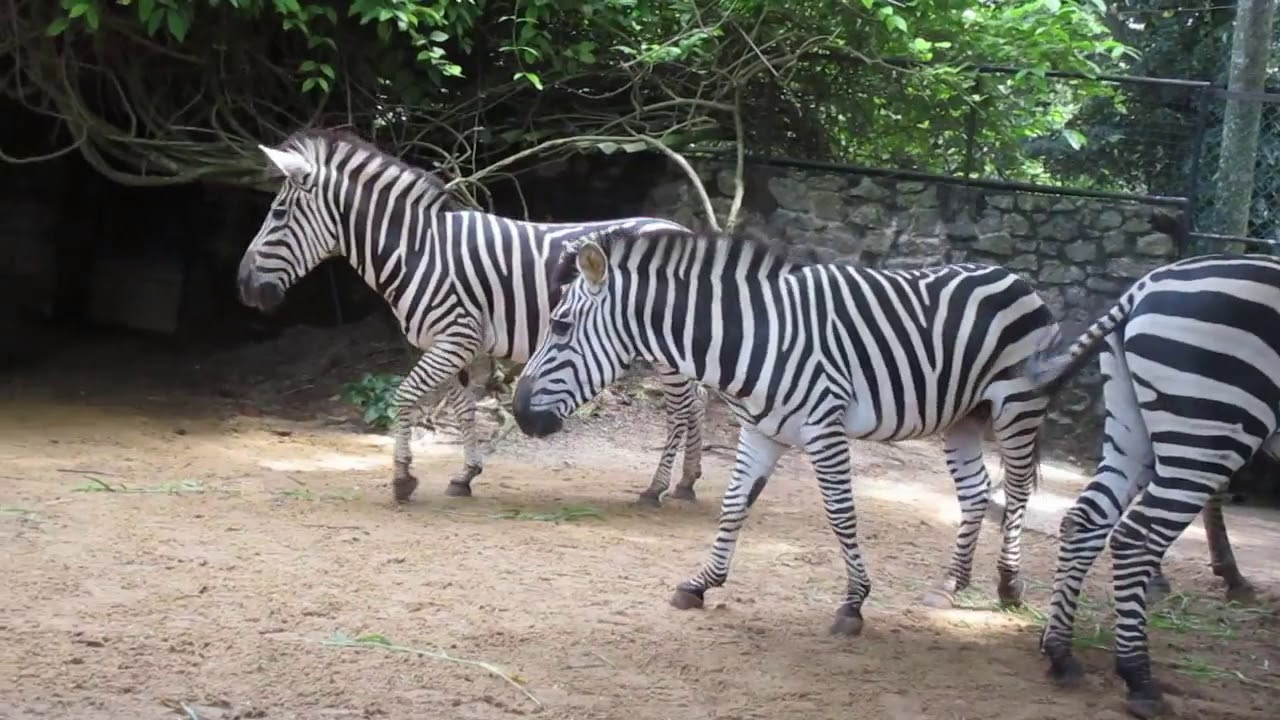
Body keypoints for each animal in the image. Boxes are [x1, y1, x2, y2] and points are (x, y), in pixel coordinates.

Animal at [235, 129, 707, 506]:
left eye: (277, 214)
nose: (242, 286)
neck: (418, 250)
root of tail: (686, 231)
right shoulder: (445, 342)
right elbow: (462, 408)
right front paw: (465, 475)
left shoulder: (454, 336)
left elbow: (405, 396)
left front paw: (403, 478)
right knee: (697, 401)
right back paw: (687, 482)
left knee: (680, 408)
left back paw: (656, 487)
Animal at [511, 224, 1064, 634]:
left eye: (560, 326)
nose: (517, 412)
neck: (753, 338)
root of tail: (1011, 274)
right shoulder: (760, 432)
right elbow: (733, 506)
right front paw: (701, 584)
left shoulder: (825, 428)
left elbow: (841, 515)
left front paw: (854, 603)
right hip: (962, 416)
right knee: (975, 492)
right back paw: (952, 582)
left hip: (1017, 404)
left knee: (1016, 491)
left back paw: (1009, 585)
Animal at [1021, 254, 1280, 719]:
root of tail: (1144, 287)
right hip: (1215, 421)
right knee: (1136, 537)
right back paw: (1139, 678)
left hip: (1133, 425)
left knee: (1085, 520)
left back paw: (1060, 651)